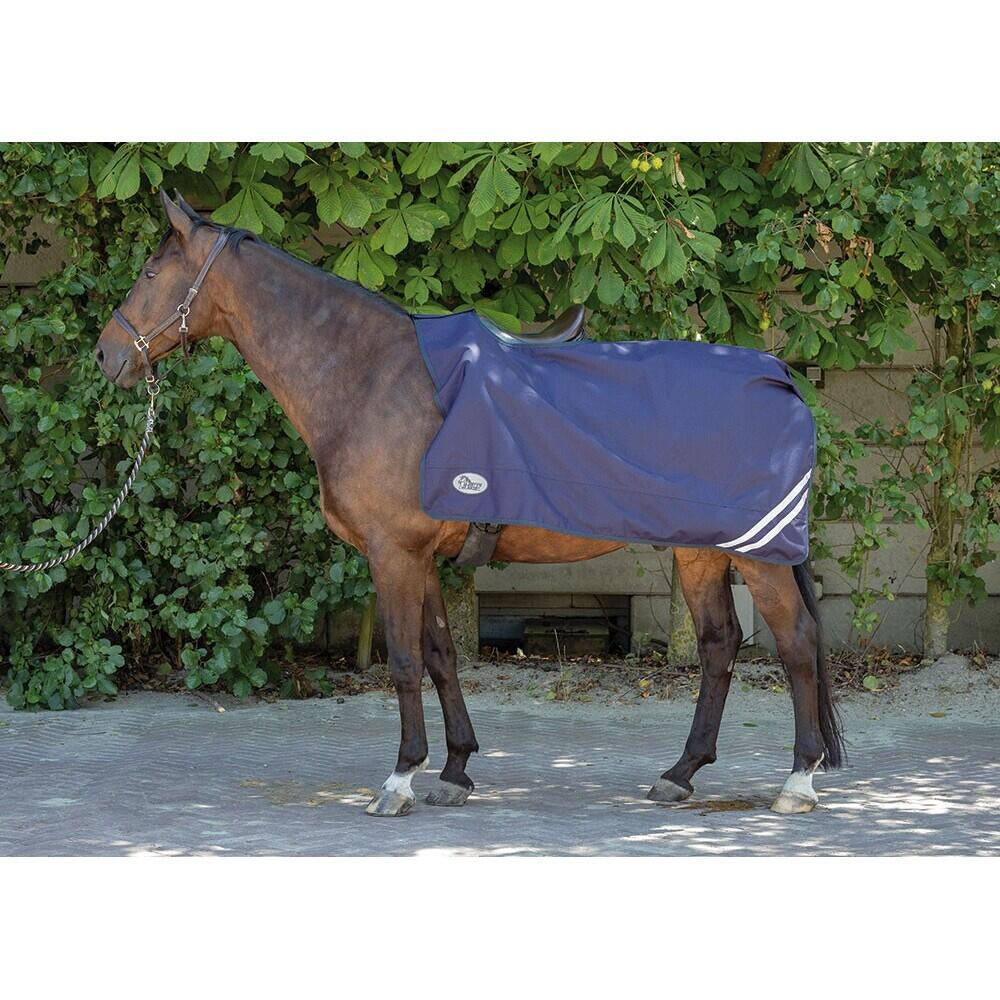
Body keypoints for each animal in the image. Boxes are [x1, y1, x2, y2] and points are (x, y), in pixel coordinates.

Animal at [94, 191, 844, 818]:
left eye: (153, 274)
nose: (106, 356)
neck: (370, 379)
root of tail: (781, 378)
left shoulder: (393, 553)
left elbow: (402, 661)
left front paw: (400, 778)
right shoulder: (421, 556)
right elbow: (440, 655)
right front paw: (454, 770)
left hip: (758, 557)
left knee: (797, 642)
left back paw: (798, 780)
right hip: (701, 552)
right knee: (719, 646)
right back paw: (681, 773)